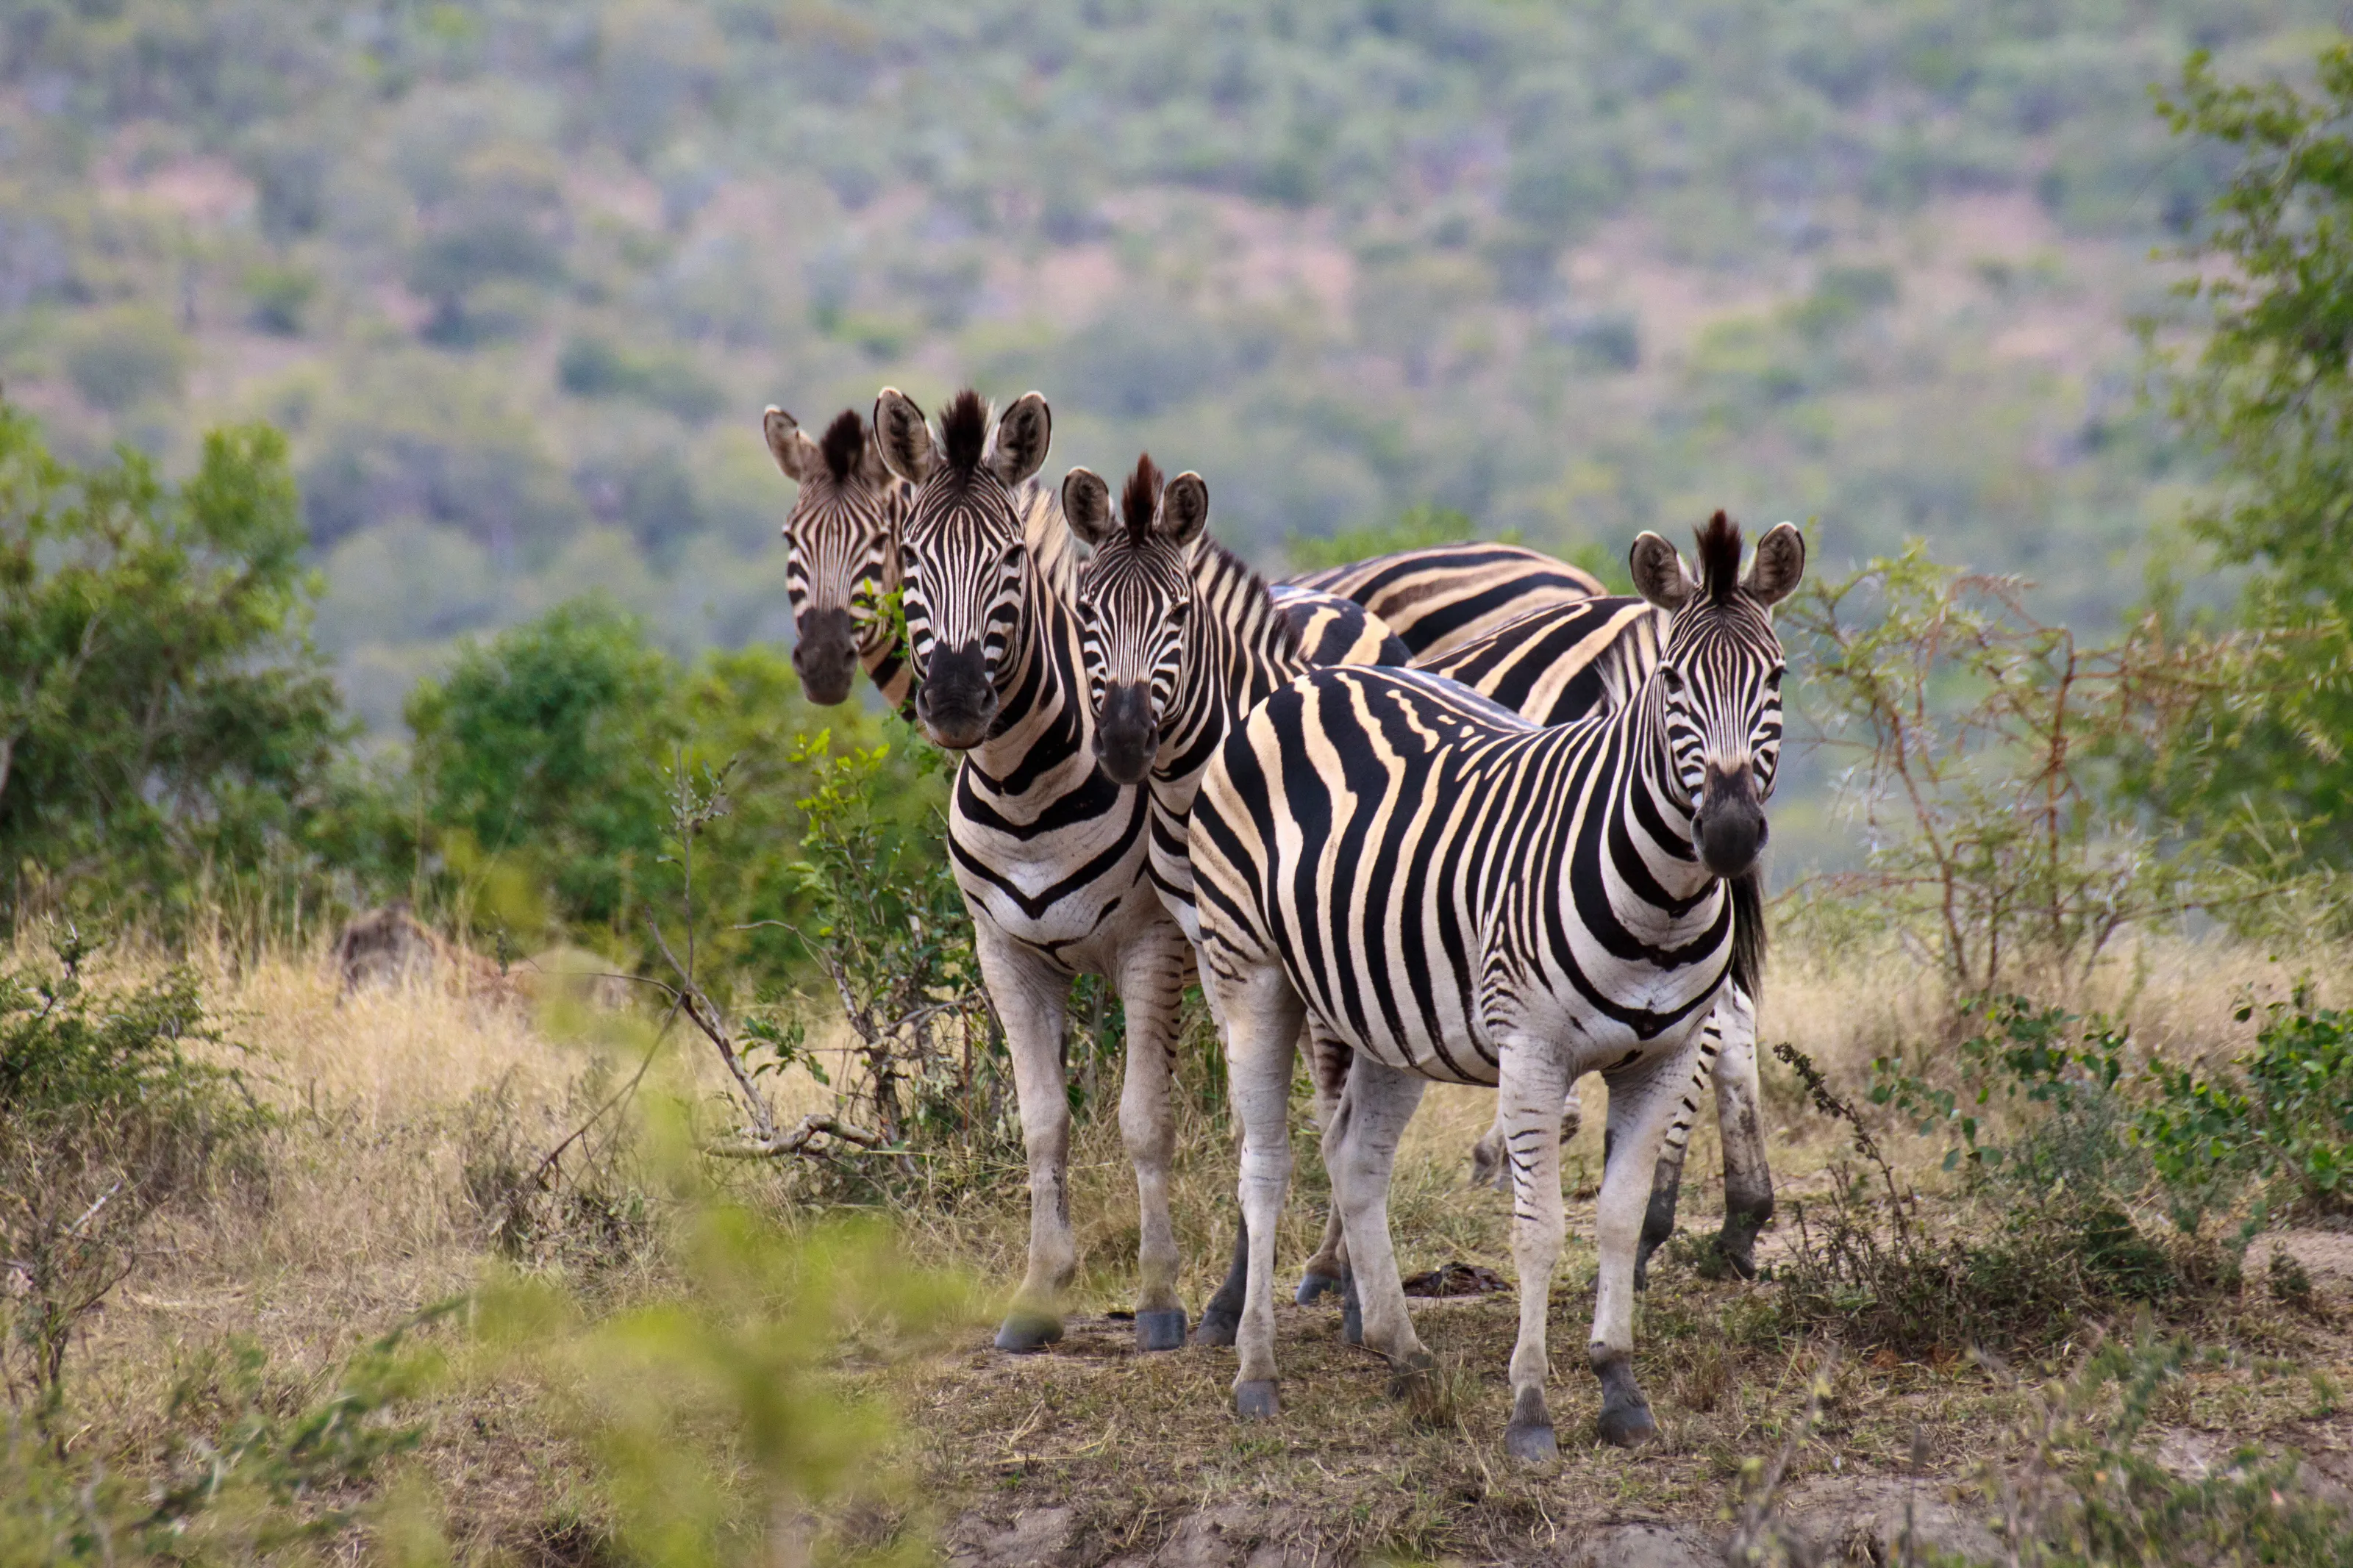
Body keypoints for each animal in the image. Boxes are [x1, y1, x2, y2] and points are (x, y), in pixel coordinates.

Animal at [871, 386, 1197, 1356]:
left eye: (1010, 555)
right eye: (910, 556)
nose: (951, 702)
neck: (1026, 795)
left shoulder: (1151, 946)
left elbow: (1142, 1120)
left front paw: (1159, 1298)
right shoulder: (1003, 954)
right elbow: (1043, 1120)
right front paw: (1038, 1293)